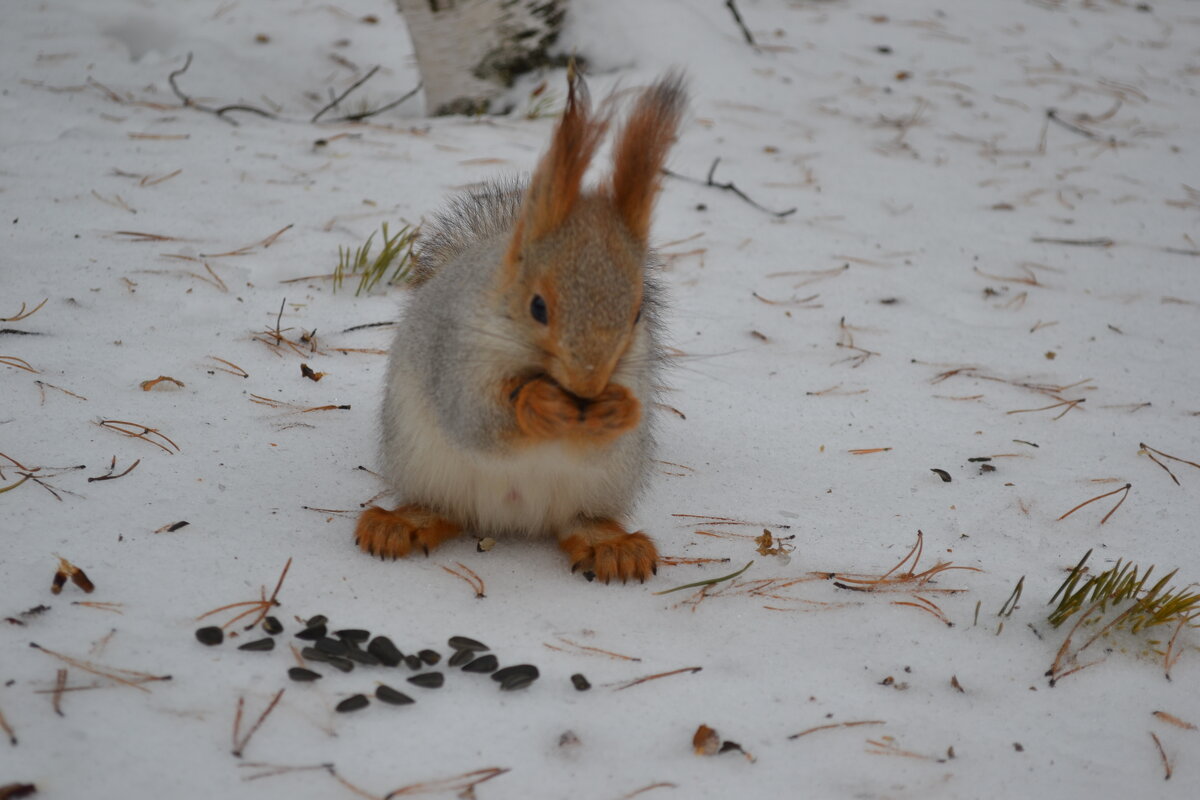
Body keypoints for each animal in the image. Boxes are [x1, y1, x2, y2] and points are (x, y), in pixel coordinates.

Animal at [352, 71, 686, 585]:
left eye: (636, 313)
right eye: (538, 306)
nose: (588, 385)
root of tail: (510, 516)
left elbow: (604, 438)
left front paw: (618, 410)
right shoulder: (453, 355)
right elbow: (475, 420)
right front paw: (536, 404)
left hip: (600, 485)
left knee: (579, 520)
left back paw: (611, 546)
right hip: (423, 462)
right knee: (441, 507)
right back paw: (399, 526)